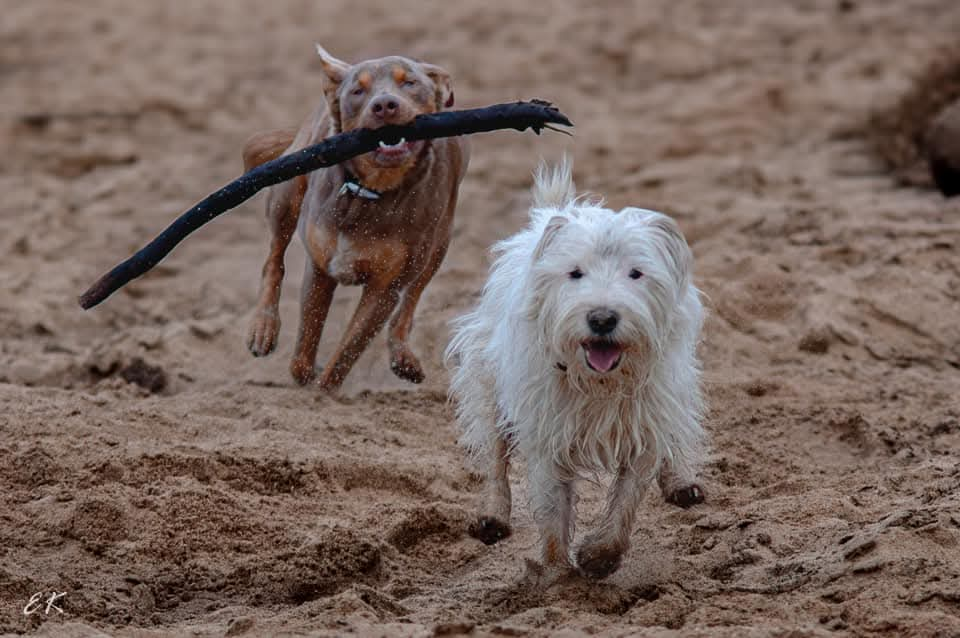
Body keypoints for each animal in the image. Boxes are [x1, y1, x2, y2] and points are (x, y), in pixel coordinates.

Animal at [238, 45, 466, 390]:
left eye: (410, 83)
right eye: (358, 91)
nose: (384, 105)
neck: (371, 191)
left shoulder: (386, 287)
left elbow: (348, 351)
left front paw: (323, 389)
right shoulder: (321, 264)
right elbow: (306, 343)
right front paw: (306, 378)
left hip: (439, 243)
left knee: (412, 299)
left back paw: (402, 354)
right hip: (287, 194)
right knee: (274, 257)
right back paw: (263, 328)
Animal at [446, 160, 708, 580]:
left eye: (636, 273)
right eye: (575, 273)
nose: (602, 318)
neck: (599, 380)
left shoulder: (645, 420)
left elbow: (627, 498)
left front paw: (599, 557)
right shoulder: (547, 430)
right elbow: (553, 511)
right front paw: (558, 577)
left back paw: (680, 481)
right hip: (489, 382)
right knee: (495, 457)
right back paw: (492, 517)